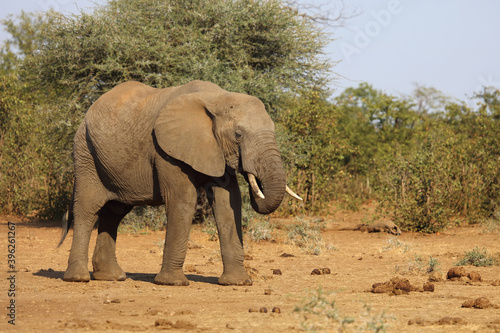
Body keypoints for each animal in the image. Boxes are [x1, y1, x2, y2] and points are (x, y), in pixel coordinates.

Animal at [59, 79, 300, 284]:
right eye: (238, 134)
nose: (252, 176)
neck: (217, 98)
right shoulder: (166, 150)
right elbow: (184, 199)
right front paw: (172, 283)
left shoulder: (214, 147)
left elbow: (228, 202)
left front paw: (238, 283)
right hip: (86, 154)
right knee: (88, 209)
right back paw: (78, 278)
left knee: (114, 213)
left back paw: (112, 277)